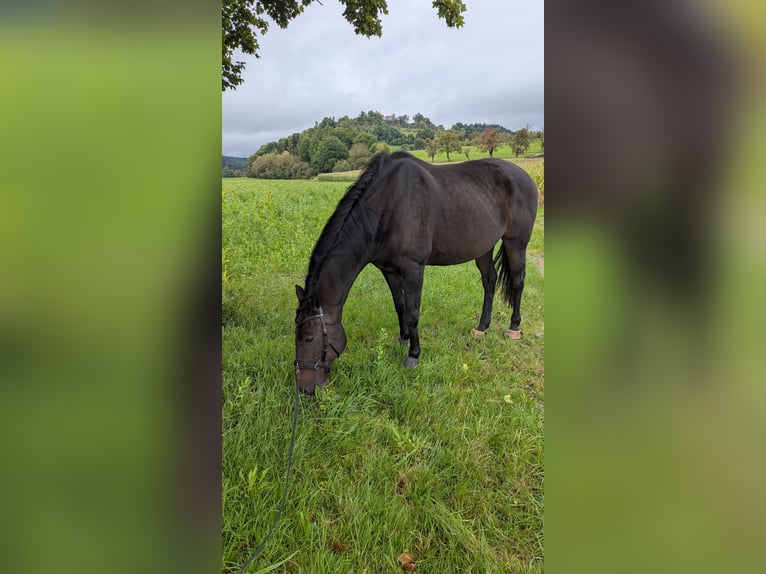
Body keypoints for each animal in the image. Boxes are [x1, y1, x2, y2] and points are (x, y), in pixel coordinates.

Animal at [294, 151, 538, 394]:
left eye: (308, 338)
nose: (305, 389)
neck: (386, 207)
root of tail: (525, 176)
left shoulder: (413, 268)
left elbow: (413, 313)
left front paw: (413, 355)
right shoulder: (388, 269)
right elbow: (400, 305)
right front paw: (403, 339)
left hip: (516, 242)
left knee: (518, 281)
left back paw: (513, 327)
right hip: (483, 247)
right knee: (489, 280)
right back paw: (481, 328)